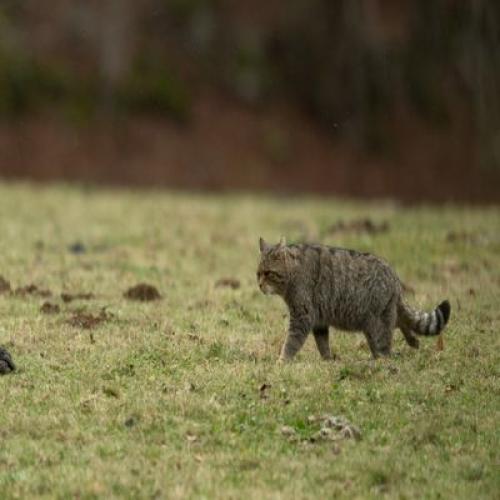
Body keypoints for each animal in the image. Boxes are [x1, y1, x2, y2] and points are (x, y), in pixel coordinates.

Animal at [256, 236, 452, 362]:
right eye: (258, 273)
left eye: (268, 273)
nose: (259, 285)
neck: (293, 272)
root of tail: (396, 279)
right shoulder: (319, 320)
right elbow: (323, 344)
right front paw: (328, 360)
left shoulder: (303, 316)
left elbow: (291, 342)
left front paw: (281, 361)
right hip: (380, 320)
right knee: (401, 322)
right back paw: (412, 341)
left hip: (376, 324)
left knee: (385, 348)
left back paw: (381, 361)